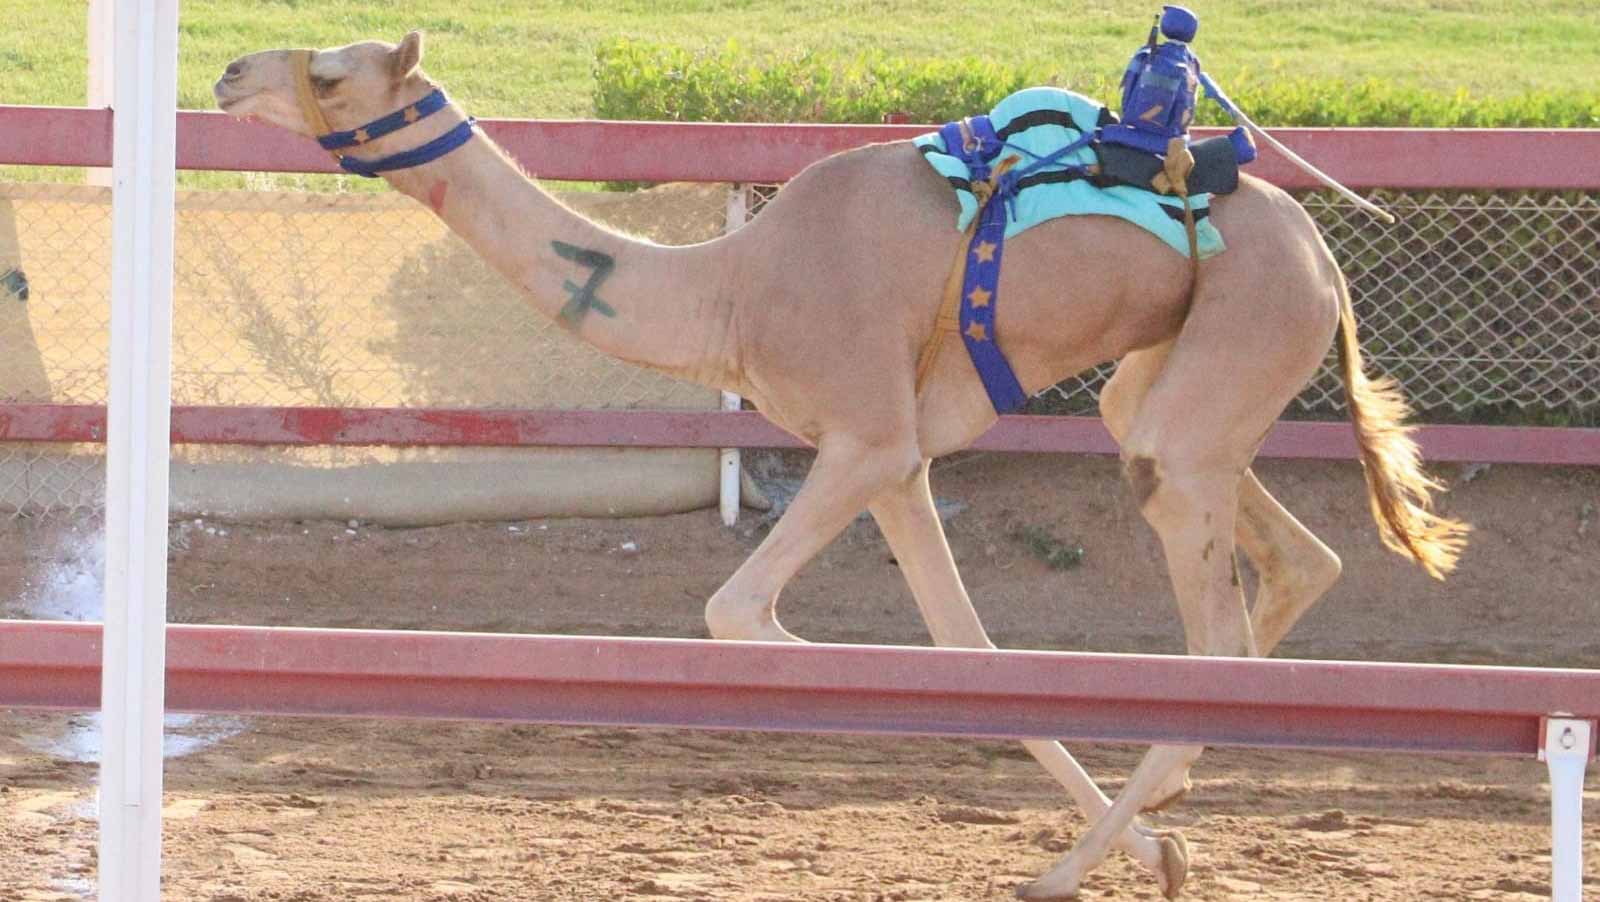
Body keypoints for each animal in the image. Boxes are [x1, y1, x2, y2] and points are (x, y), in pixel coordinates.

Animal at [214, 32, 1468, 899]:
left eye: (331, 73)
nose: (228, 73)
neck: (728, 289)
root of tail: (1328, 266)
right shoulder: (899, 463)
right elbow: (971, 653)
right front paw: (1160, 838)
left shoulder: (864, 435)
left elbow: (736, 609)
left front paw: (1139, 845)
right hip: (1174, 383)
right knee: (1292, 556)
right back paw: (1158, 803)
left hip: (1232, 355)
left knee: (1212, 625)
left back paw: (1082, 856)